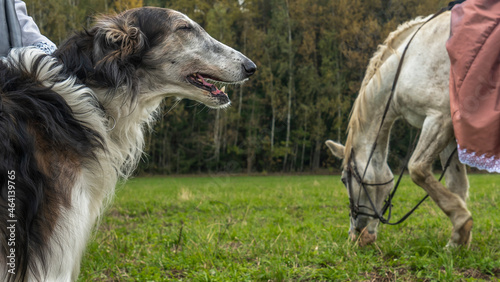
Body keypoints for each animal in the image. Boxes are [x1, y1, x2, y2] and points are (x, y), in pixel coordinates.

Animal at [326, 11, 474, 247]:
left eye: (343, 179)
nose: (356, 235)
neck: (405, 65)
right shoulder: (449, 132)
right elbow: (456, 184)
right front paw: (459, 241)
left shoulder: (439, 118)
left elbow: (418, 169)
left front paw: (462, 223)